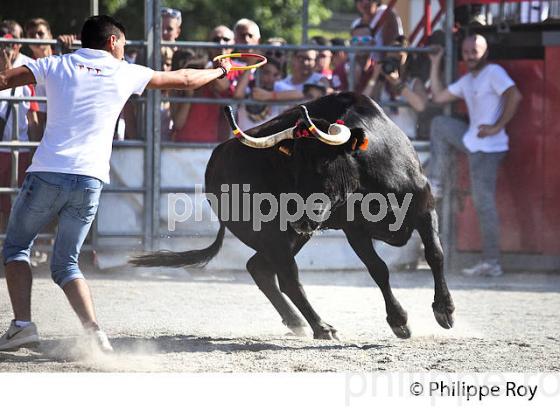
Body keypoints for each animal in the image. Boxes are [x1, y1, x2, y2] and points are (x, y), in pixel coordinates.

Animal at [132, 92, 456, 340]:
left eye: (322, 165)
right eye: (294, 169)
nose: (298, 216)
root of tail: (215, 163)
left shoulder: (424, 206)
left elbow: (435, 254)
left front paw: (444, 309)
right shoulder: (355, 231)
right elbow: (379, 269)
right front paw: (399, 320)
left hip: (292, 236)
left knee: (260, 268)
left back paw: (297, 322)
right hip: (272, 234)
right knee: (287, 277)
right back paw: (321, 327)